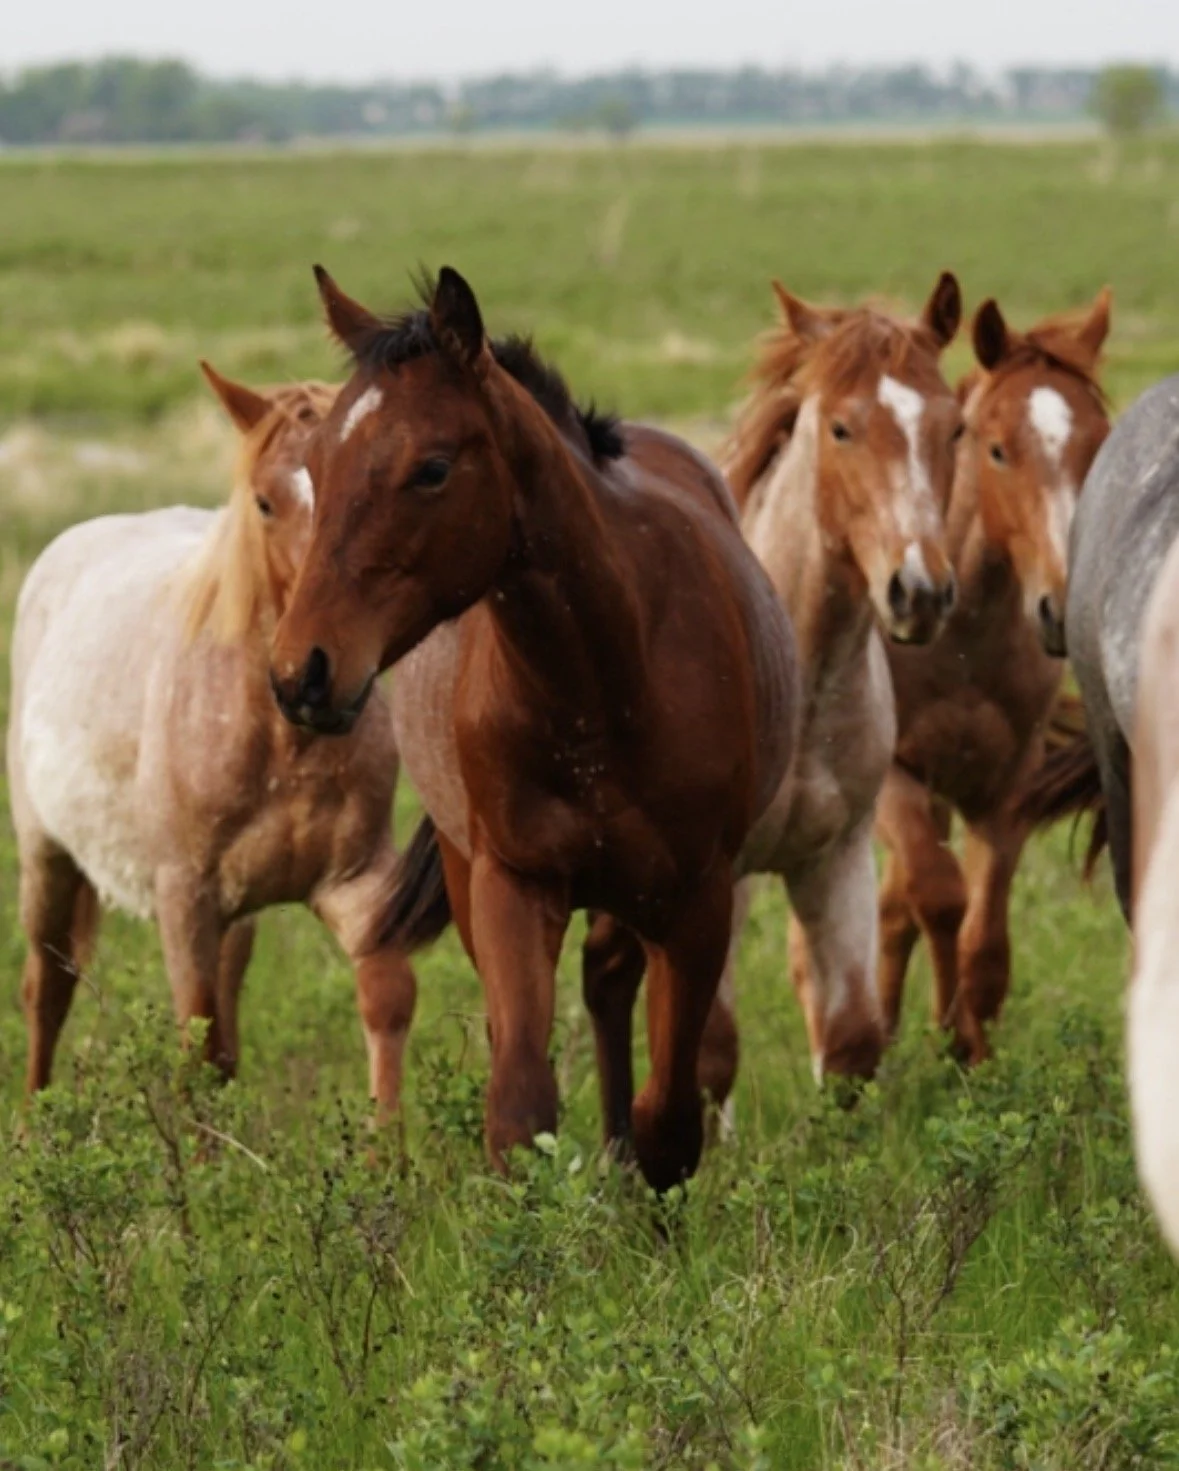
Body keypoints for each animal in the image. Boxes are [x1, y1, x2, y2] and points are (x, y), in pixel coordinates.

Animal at [8, 367, 417, 1112]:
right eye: (264, 502)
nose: (316, 673)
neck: (285, 745)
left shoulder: (354, 882)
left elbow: (386, 998)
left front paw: (389, 1143)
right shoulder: (184, 900)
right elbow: (198, 1045)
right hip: (48, 858)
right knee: (46, 990)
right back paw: (33, 1121)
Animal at [269, 265, 799, 1192]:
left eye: (431, 468)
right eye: (318, 464)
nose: (303, 671)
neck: (601, 682)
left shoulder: (694, 902)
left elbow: (670, 1118)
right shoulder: (514, 885)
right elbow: (519, 1108)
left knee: (612, 987)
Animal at [585, 272, 964, 1114]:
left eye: (954, 427)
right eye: (841, 429)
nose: (919, 591)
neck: (802, 682)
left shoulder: (837, 855)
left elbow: (851, 1041)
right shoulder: (715, 879)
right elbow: (708, 1055)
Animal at [877, 289, 1111, 1060]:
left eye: (1099, 444)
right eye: (998, 448)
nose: (1063, 607)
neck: (961, 642)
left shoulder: (1006, 786)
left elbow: (983, 940)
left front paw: (969, 1052)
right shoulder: (895, 777)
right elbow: (937, 895)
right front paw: (945, 1038)